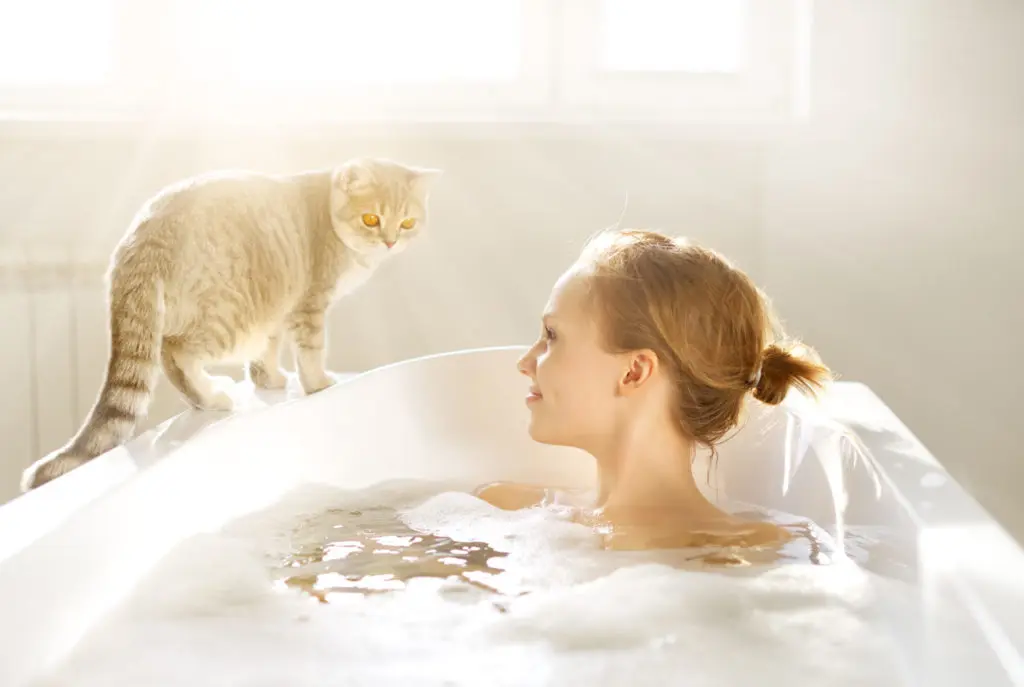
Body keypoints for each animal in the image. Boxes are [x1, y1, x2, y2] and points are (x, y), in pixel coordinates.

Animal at [18, 157, 436, 489]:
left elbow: (268, 352)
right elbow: (311, 353)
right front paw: (319, 385)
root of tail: (146, 231)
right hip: (226, 318)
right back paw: (211, 396)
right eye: (371, 219)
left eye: (407, 223)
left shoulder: (278, 310)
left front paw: (270, 380)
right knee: (173, 352)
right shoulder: (309, 307)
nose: (389, 241)